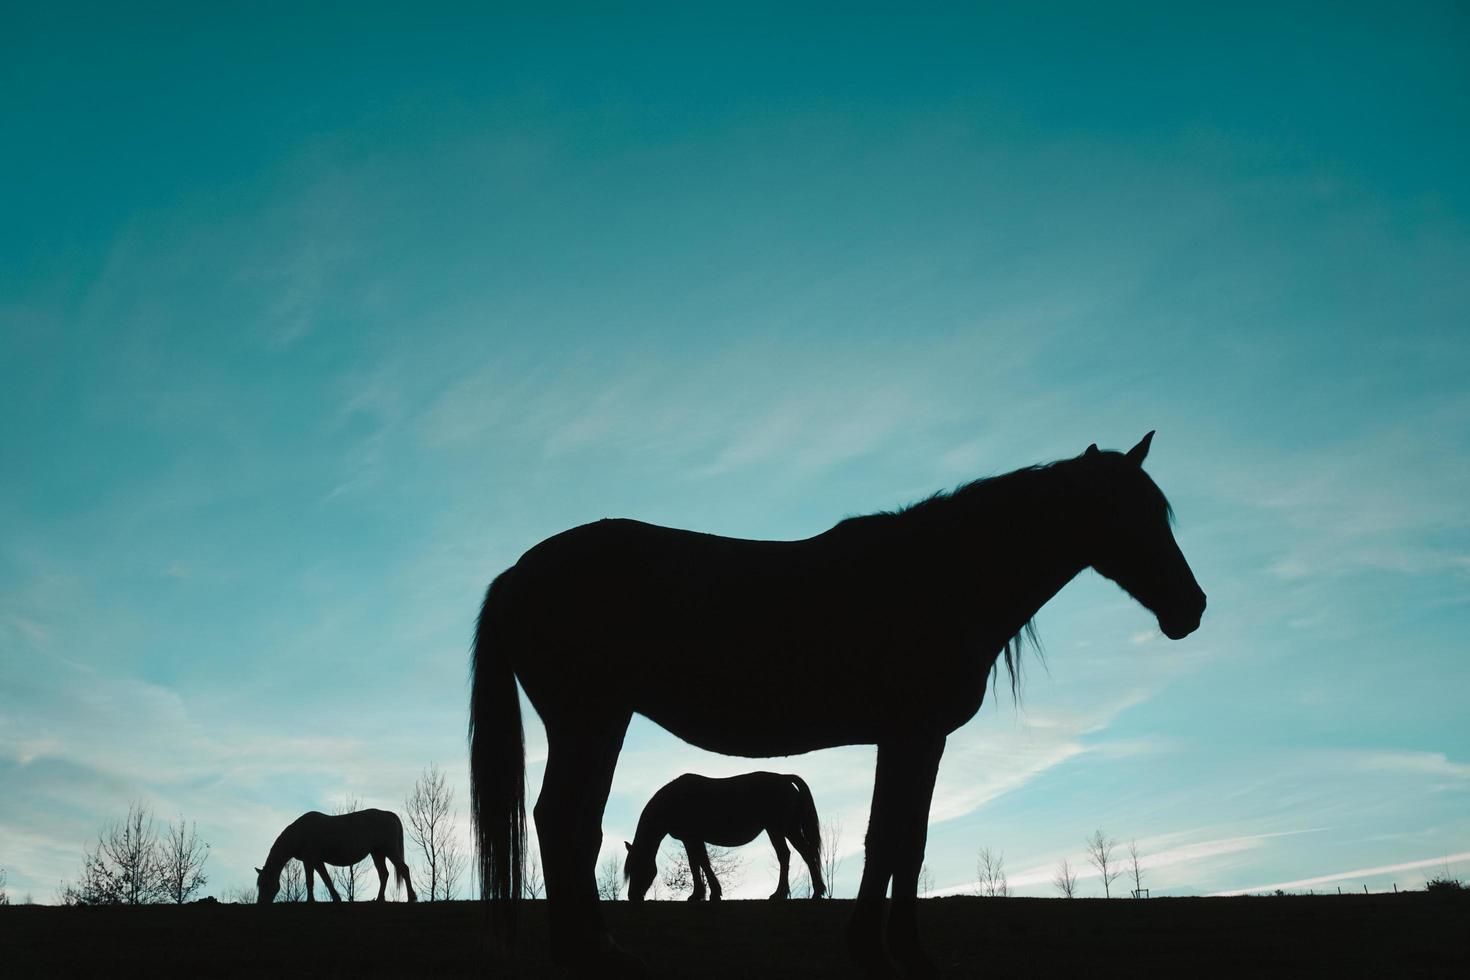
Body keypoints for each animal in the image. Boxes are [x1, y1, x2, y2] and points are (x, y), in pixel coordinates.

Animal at [257, 811, 420, 905]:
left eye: (265, 884)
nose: (261, 904)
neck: (300, 833)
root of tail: (389, 814)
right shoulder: (314, 861)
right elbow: (324, 880)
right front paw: (335, 898)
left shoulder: (311, 860)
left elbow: (313, 881)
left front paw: (311, 901)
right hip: (377, 853)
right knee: (384, 874)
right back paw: (379, 899)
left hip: (389, 850)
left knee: (403, 869)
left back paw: (411, 897)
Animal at [620, 775, 829, 905]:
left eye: (638, 867)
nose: (632, 896)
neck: (673, 802)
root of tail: (785, 778)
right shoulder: (691, 839)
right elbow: (697, 863)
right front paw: (701, 894)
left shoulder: (692, 838)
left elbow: (701, 863)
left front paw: (708, 894)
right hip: (777, 830)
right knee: (790, 855)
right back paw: (788, 893)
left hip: (785, 829)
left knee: (803, 854)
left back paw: (811, 892)